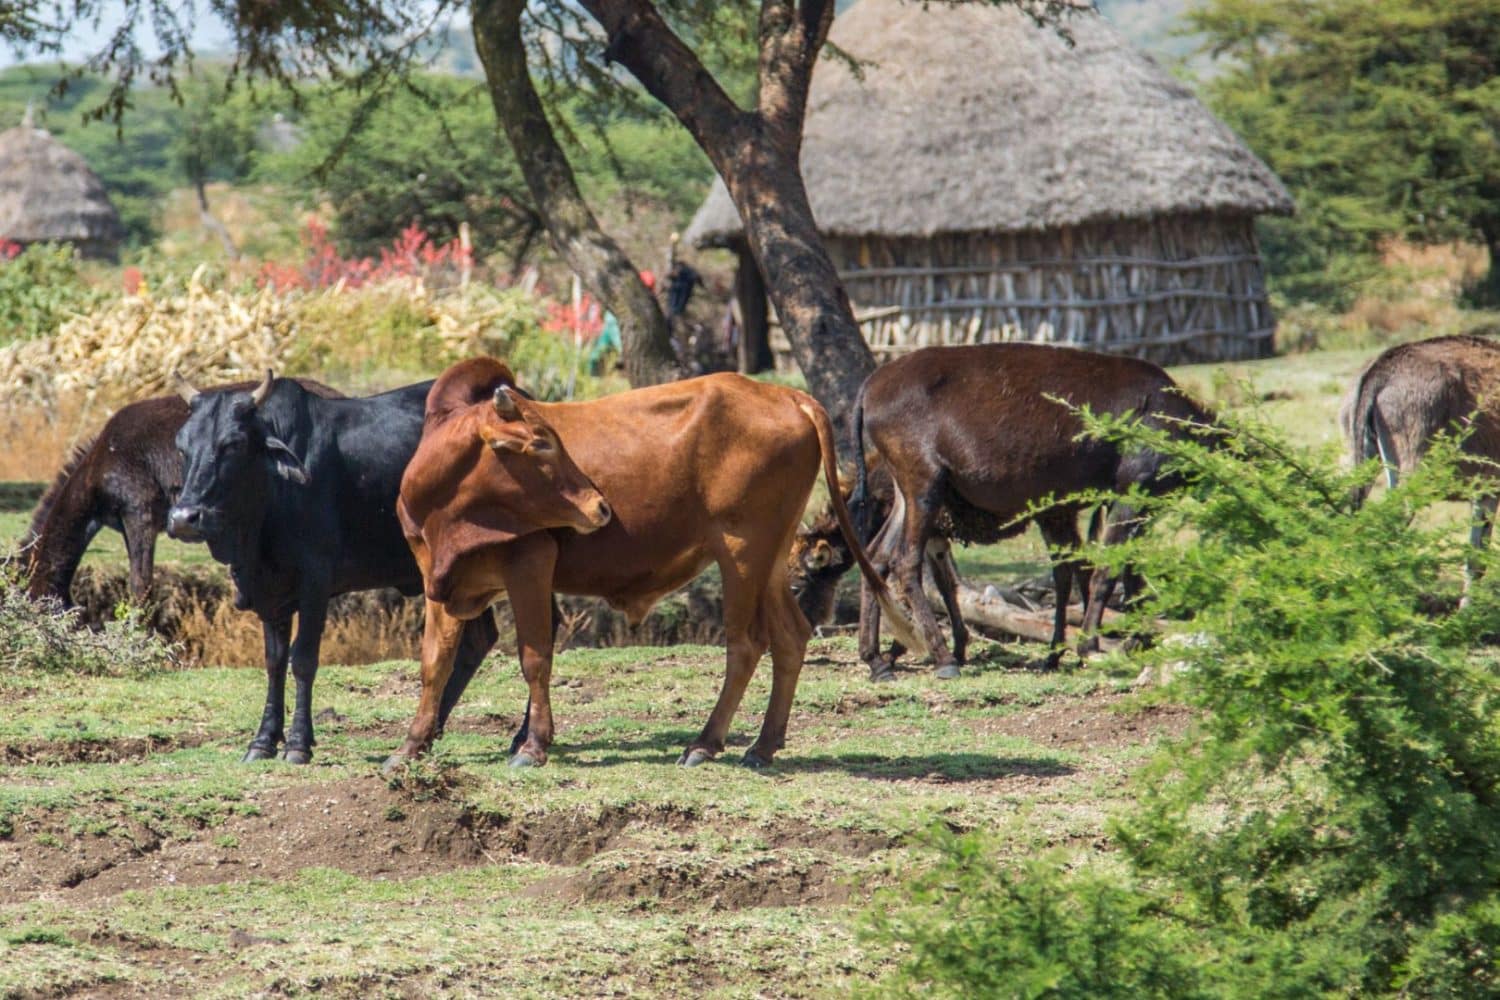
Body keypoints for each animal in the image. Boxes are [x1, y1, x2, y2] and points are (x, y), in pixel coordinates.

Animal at [167, 371, 499, 764]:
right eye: (182, 445)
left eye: (233, 444)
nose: (185, 518)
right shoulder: (271, 593)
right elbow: (274, 662)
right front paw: (263, 741)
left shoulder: (315, 583)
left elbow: (303, 659)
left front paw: (298, 744)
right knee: (478, 641)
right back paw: (428, 736)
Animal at [387, 357, 918, 770]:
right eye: (540, 443)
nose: (600, 507)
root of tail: (786, 394)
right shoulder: (437, 579)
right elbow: (435, 661)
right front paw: (411, 745)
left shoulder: (530, 567)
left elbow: (534, 657)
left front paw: (533, 746)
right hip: (770, 557)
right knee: (790, 636)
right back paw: (763, 745)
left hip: (741, 551)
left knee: (746, 644)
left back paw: (704, 743)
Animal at [846, 343, 1211, 679]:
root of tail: (869, 388)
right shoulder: (1132, 495)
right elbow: (1106, 570)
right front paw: (1091, 646)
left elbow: (1111, 572)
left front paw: (1133, 642)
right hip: (924, 485)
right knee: (905, 560)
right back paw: (944, 659)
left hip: (906, 493)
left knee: (877, 557)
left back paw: (876, 661)